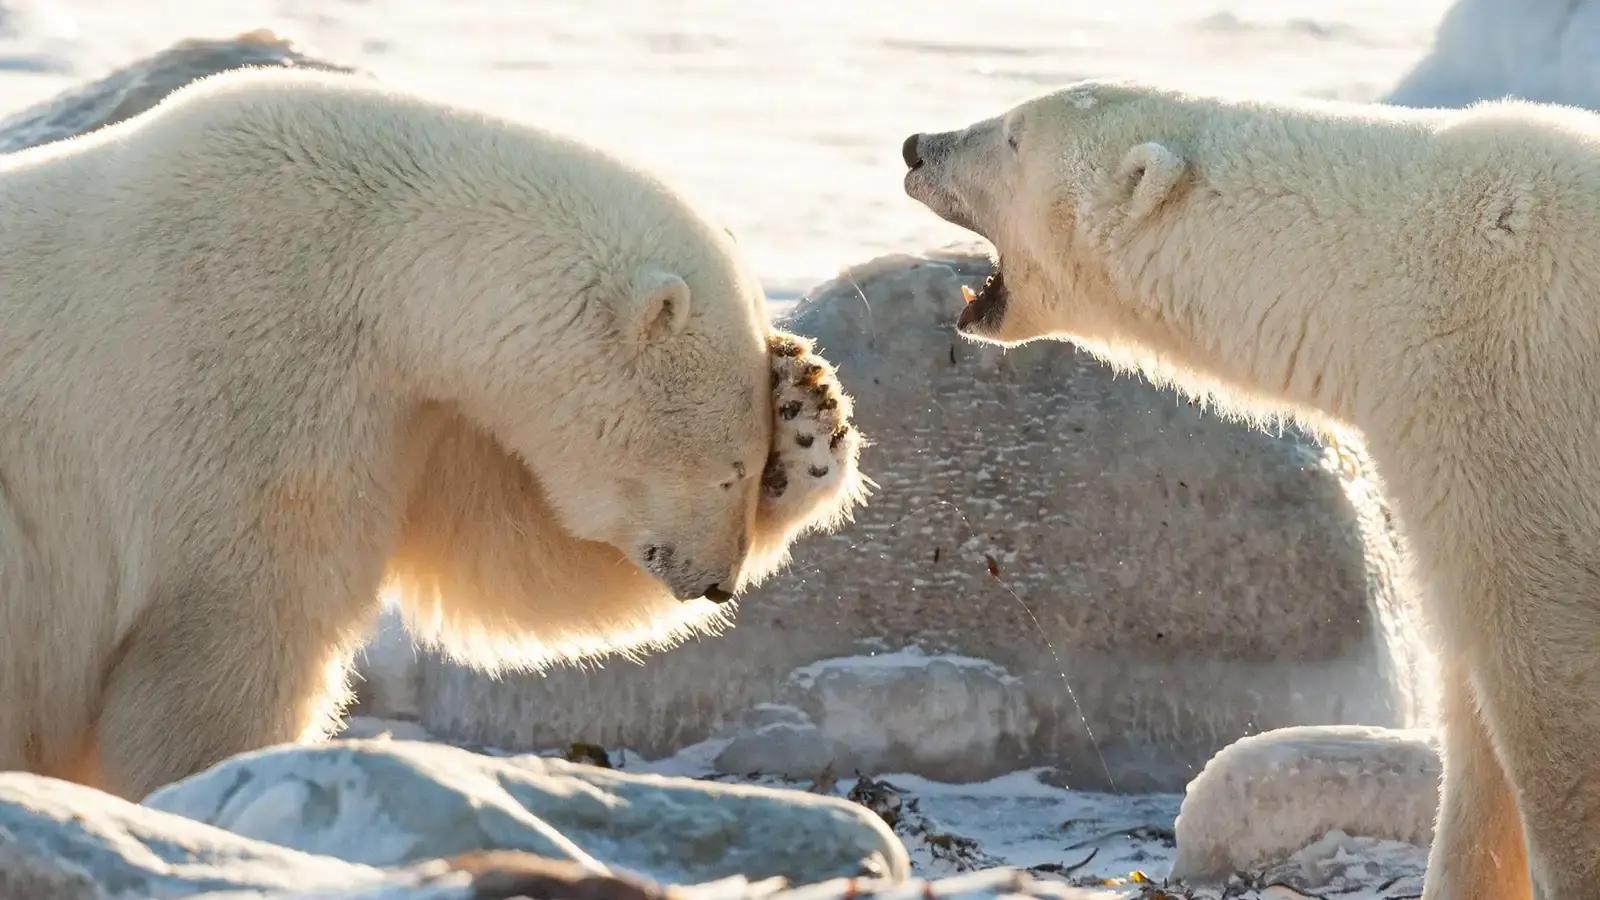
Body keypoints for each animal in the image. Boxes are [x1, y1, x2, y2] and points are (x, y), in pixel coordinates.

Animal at [0, 70, 864, 797]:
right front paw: (219, 780)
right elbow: (233, 627)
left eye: (752, 467)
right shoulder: (246, 373)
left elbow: (512, 553)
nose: (718, 581)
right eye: (727, 469)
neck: (372, 260)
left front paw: (809, 411)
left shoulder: (416, 413)